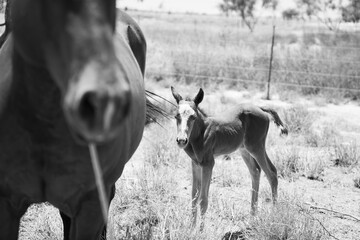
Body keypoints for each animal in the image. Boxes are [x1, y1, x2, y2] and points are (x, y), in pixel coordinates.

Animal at [170, 86, 288, 229]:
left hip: (256, 147)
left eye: (193, 117)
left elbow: (203, 199)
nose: (182, 140)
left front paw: (200, 231)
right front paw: (191, 229)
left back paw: (274, 215)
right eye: (176, 116)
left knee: (271, 173)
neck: (201, 133)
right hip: (245, 150)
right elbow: (194, 196)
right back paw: (252, 217)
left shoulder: (208, 164)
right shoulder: (196, 164)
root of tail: (260, 108)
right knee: (256, 171)